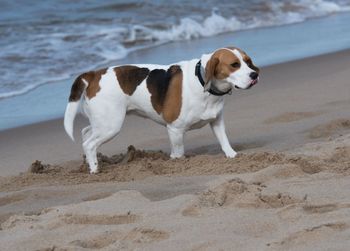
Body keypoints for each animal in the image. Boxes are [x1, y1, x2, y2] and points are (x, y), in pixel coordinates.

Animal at [63, 47, 260, 173]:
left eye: (248, 62)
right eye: (234, 64)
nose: (255, 75)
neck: (202, 81)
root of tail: (94, 74)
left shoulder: (216, 121)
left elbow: (224, 141)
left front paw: (232, 155)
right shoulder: (175, 129)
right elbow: (179, 152)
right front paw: (177, 163)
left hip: (102, 122)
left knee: (86, 132)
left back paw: (89, 162)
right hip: (111, 125)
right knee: (89, 144)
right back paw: (94, 169)